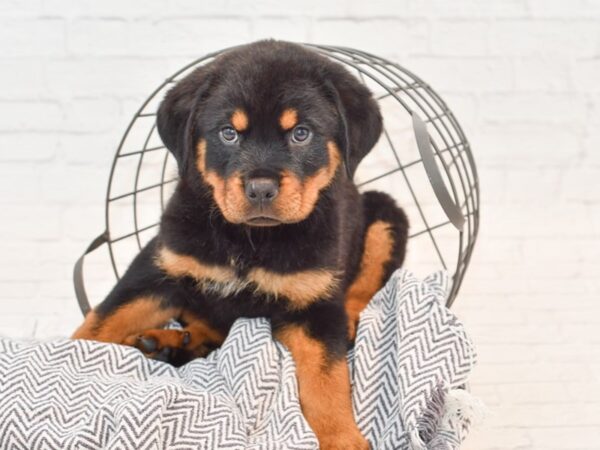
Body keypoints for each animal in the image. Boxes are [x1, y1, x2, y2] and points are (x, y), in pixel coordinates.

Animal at [71, 39, 408, 450]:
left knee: (361, 290)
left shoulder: (314, 302)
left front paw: (341, 438)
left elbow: (327, 381)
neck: (249, 239)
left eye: (301, 133)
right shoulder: (162, 265)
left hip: (385, 214)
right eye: (228, 133)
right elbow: (102, 319)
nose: (260, 189)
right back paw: (166, 342)